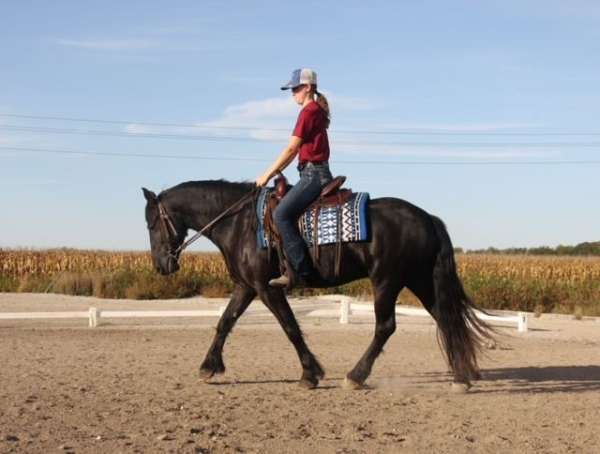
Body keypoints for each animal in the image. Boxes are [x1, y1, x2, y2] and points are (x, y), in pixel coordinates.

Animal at [142, 179, 492, 388]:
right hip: (419, 280)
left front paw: (311, 374)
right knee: (446, 318)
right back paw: (461, 377)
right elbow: (225, 321)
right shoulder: (246, 286)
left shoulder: (267, 287)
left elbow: (290, 327)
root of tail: (427, 217)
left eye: (152, 223)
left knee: (386, 326)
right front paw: (208, 366)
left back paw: (356, 376)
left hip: (387, 281)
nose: (161, 265)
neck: (239, 222)